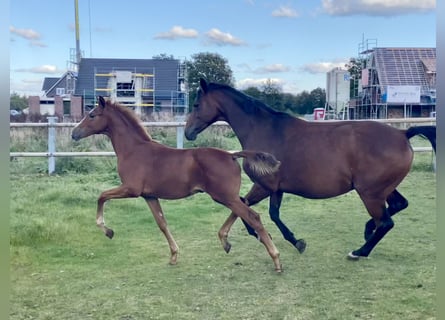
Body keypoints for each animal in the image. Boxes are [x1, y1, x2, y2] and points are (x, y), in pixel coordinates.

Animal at [71, 95, 282, 272]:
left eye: (92, 115)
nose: (74, 133)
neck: (133, 150)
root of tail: (231, 155)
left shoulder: (131, 189)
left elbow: (101, 196)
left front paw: (108, 231)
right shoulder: (149, 195)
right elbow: (162, 223)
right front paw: (173, 256)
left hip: (224, 196)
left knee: (253, 216)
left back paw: (276, 259)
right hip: (226, 197)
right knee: (245, 208)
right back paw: (226, 241)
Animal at [183, 79, 434, 260]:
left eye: (196, 105)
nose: (188, 132)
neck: (264, 129)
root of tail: (403, 134)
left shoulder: (266, 185)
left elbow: (256, 210)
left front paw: (289, 241)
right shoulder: (273, 188)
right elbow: (255, 208)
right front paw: (265, 237)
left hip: (370, 193)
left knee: (386, 222)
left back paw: (359, 251)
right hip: (382, 189)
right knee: (398, 206)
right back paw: (367, 230)